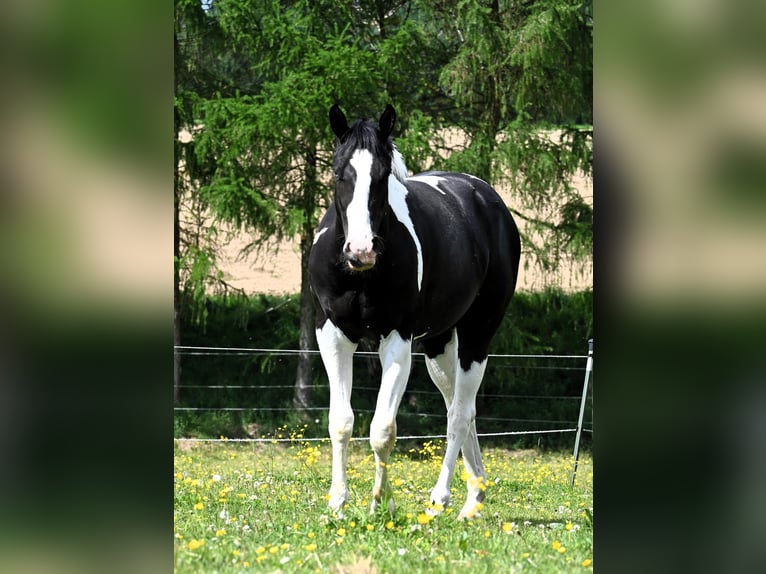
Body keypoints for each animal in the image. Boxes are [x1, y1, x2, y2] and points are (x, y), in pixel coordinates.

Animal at [309, 104, 520, 520]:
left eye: (381, 176)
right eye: (340, 173)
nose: (361, 250)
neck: (361, 275)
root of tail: (487, 198)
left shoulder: (397, 341)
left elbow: (382, 429)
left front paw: (381, 503)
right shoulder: (333, 336)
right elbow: (341, 422)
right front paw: (337, 504)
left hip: (477, 334)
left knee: (458, 415)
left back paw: (442, 500)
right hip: (438, 345)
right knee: (463, 407)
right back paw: (474, 497)